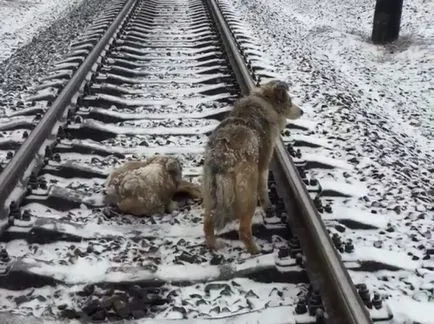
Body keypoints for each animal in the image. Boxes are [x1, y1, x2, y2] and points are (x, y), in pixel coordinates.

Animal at [203, 79, 302, 254]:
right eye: (290, 102)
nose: (302, 111)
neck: (265, 102)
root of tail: (223, 159)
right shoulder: (264, 163)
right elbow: (264, 188)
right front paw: (268, 207)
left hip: (210, 194)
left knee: (207, 225)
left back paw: (215, 245)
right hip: (249, 193)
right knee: (243, 230)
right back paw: (256, 250)